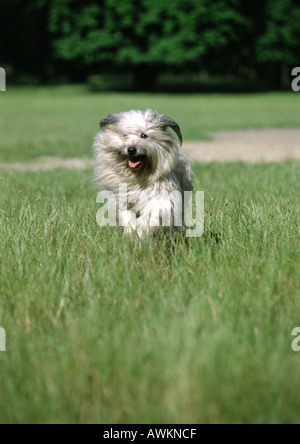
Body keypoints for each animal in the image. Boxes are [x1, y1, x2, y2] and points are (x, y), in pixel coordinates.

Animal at [92, 108, 193, 238]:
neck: (137, 177)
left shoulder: (161, 197)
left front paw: (141, 232)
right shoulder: (121, 199)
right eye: (125, 135)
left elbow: (152, 214)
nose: (131, 149)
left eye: (143, 135)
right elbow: (126, 215)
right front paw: (131, 232)